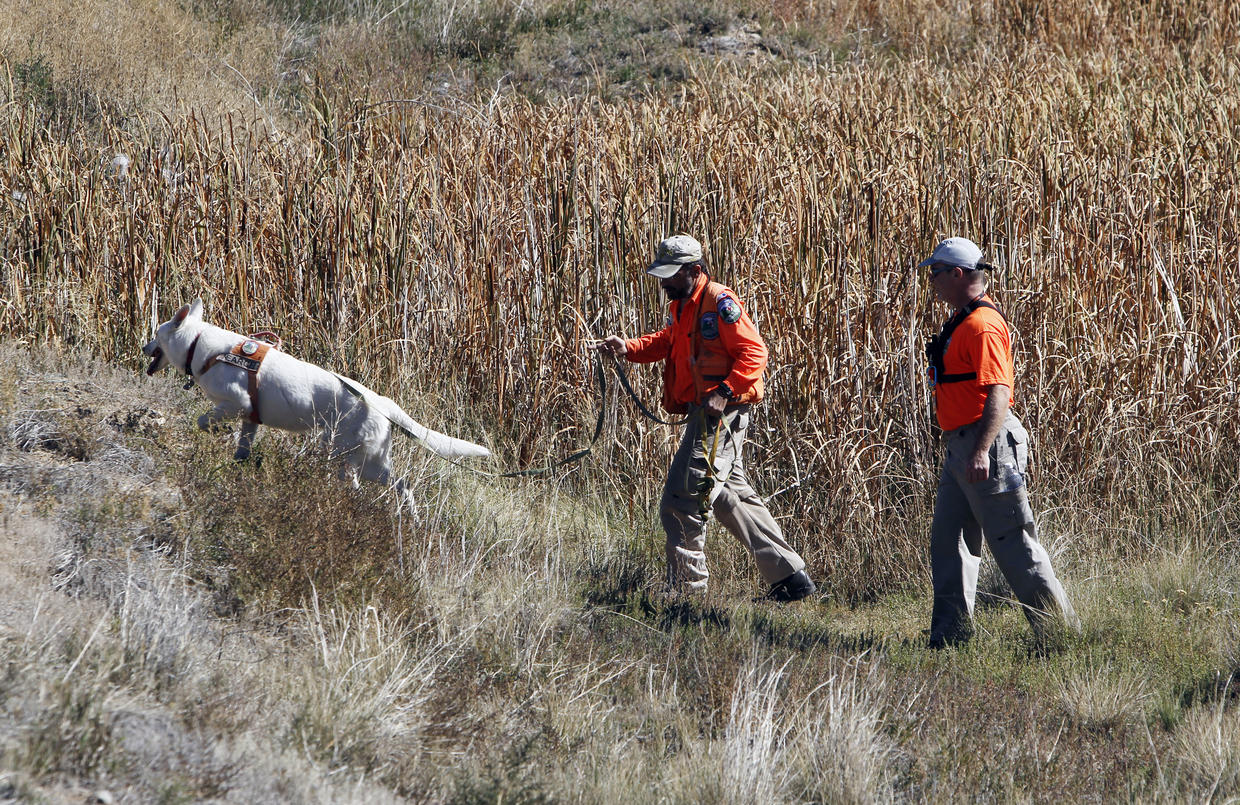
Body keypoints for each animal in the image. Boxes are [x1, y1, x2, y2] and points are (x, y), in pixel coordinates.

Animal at [141, 297, 488, 506]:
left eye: (156, 334)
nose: (143, 347)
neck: (199, 345)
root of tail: (382, 403)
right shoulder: (250, 419)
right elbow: (242, 448)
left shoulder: (236, 403)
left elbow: (204, 420)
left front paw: (215, 431)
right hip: (364, 461)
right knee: (402, 484)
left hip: (349, 457)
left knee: (377, 485)